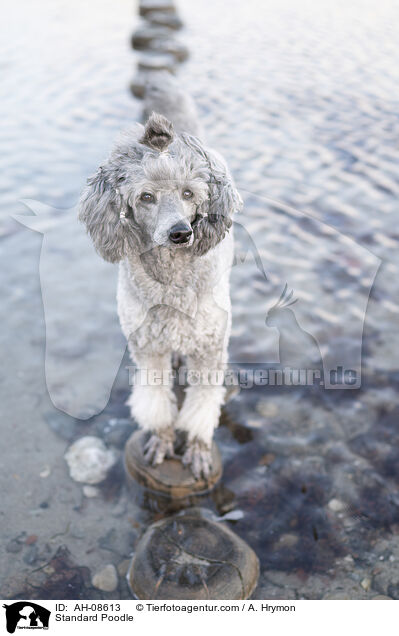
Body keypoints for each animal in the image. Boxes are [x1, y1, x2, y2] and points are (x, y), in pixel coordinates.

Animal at [77, 109, 241, 476]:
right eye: (146, 197)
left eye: (189, 193)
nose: (180, 233)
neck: (170, 280)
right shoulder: (148, 348)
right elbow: (155, 402)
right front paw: (162, 440)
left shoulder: (209, 348)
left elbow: (201, 404)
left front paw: (197, 448)